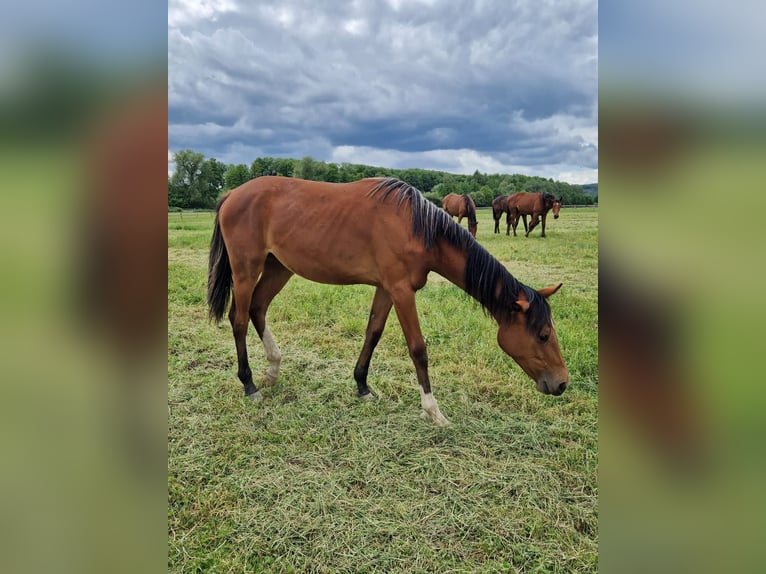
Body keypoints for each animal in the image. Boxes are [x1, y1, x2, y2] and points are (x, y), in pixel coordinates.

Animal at [207, 178, 568, 426]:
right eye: (543, 335)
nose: (562, 383)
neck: (420, 228)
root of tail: (231, 195)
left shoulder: (385, 289)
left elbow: (373, 333)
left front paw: (362, 386)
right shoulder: (401, 291)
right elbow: (418, 349)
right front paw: (434, 411)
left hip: (278, 267)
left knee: (258, 308)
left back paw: (273, 368)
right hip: (246, 269)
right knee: (239, 319)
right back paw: (249, 383)